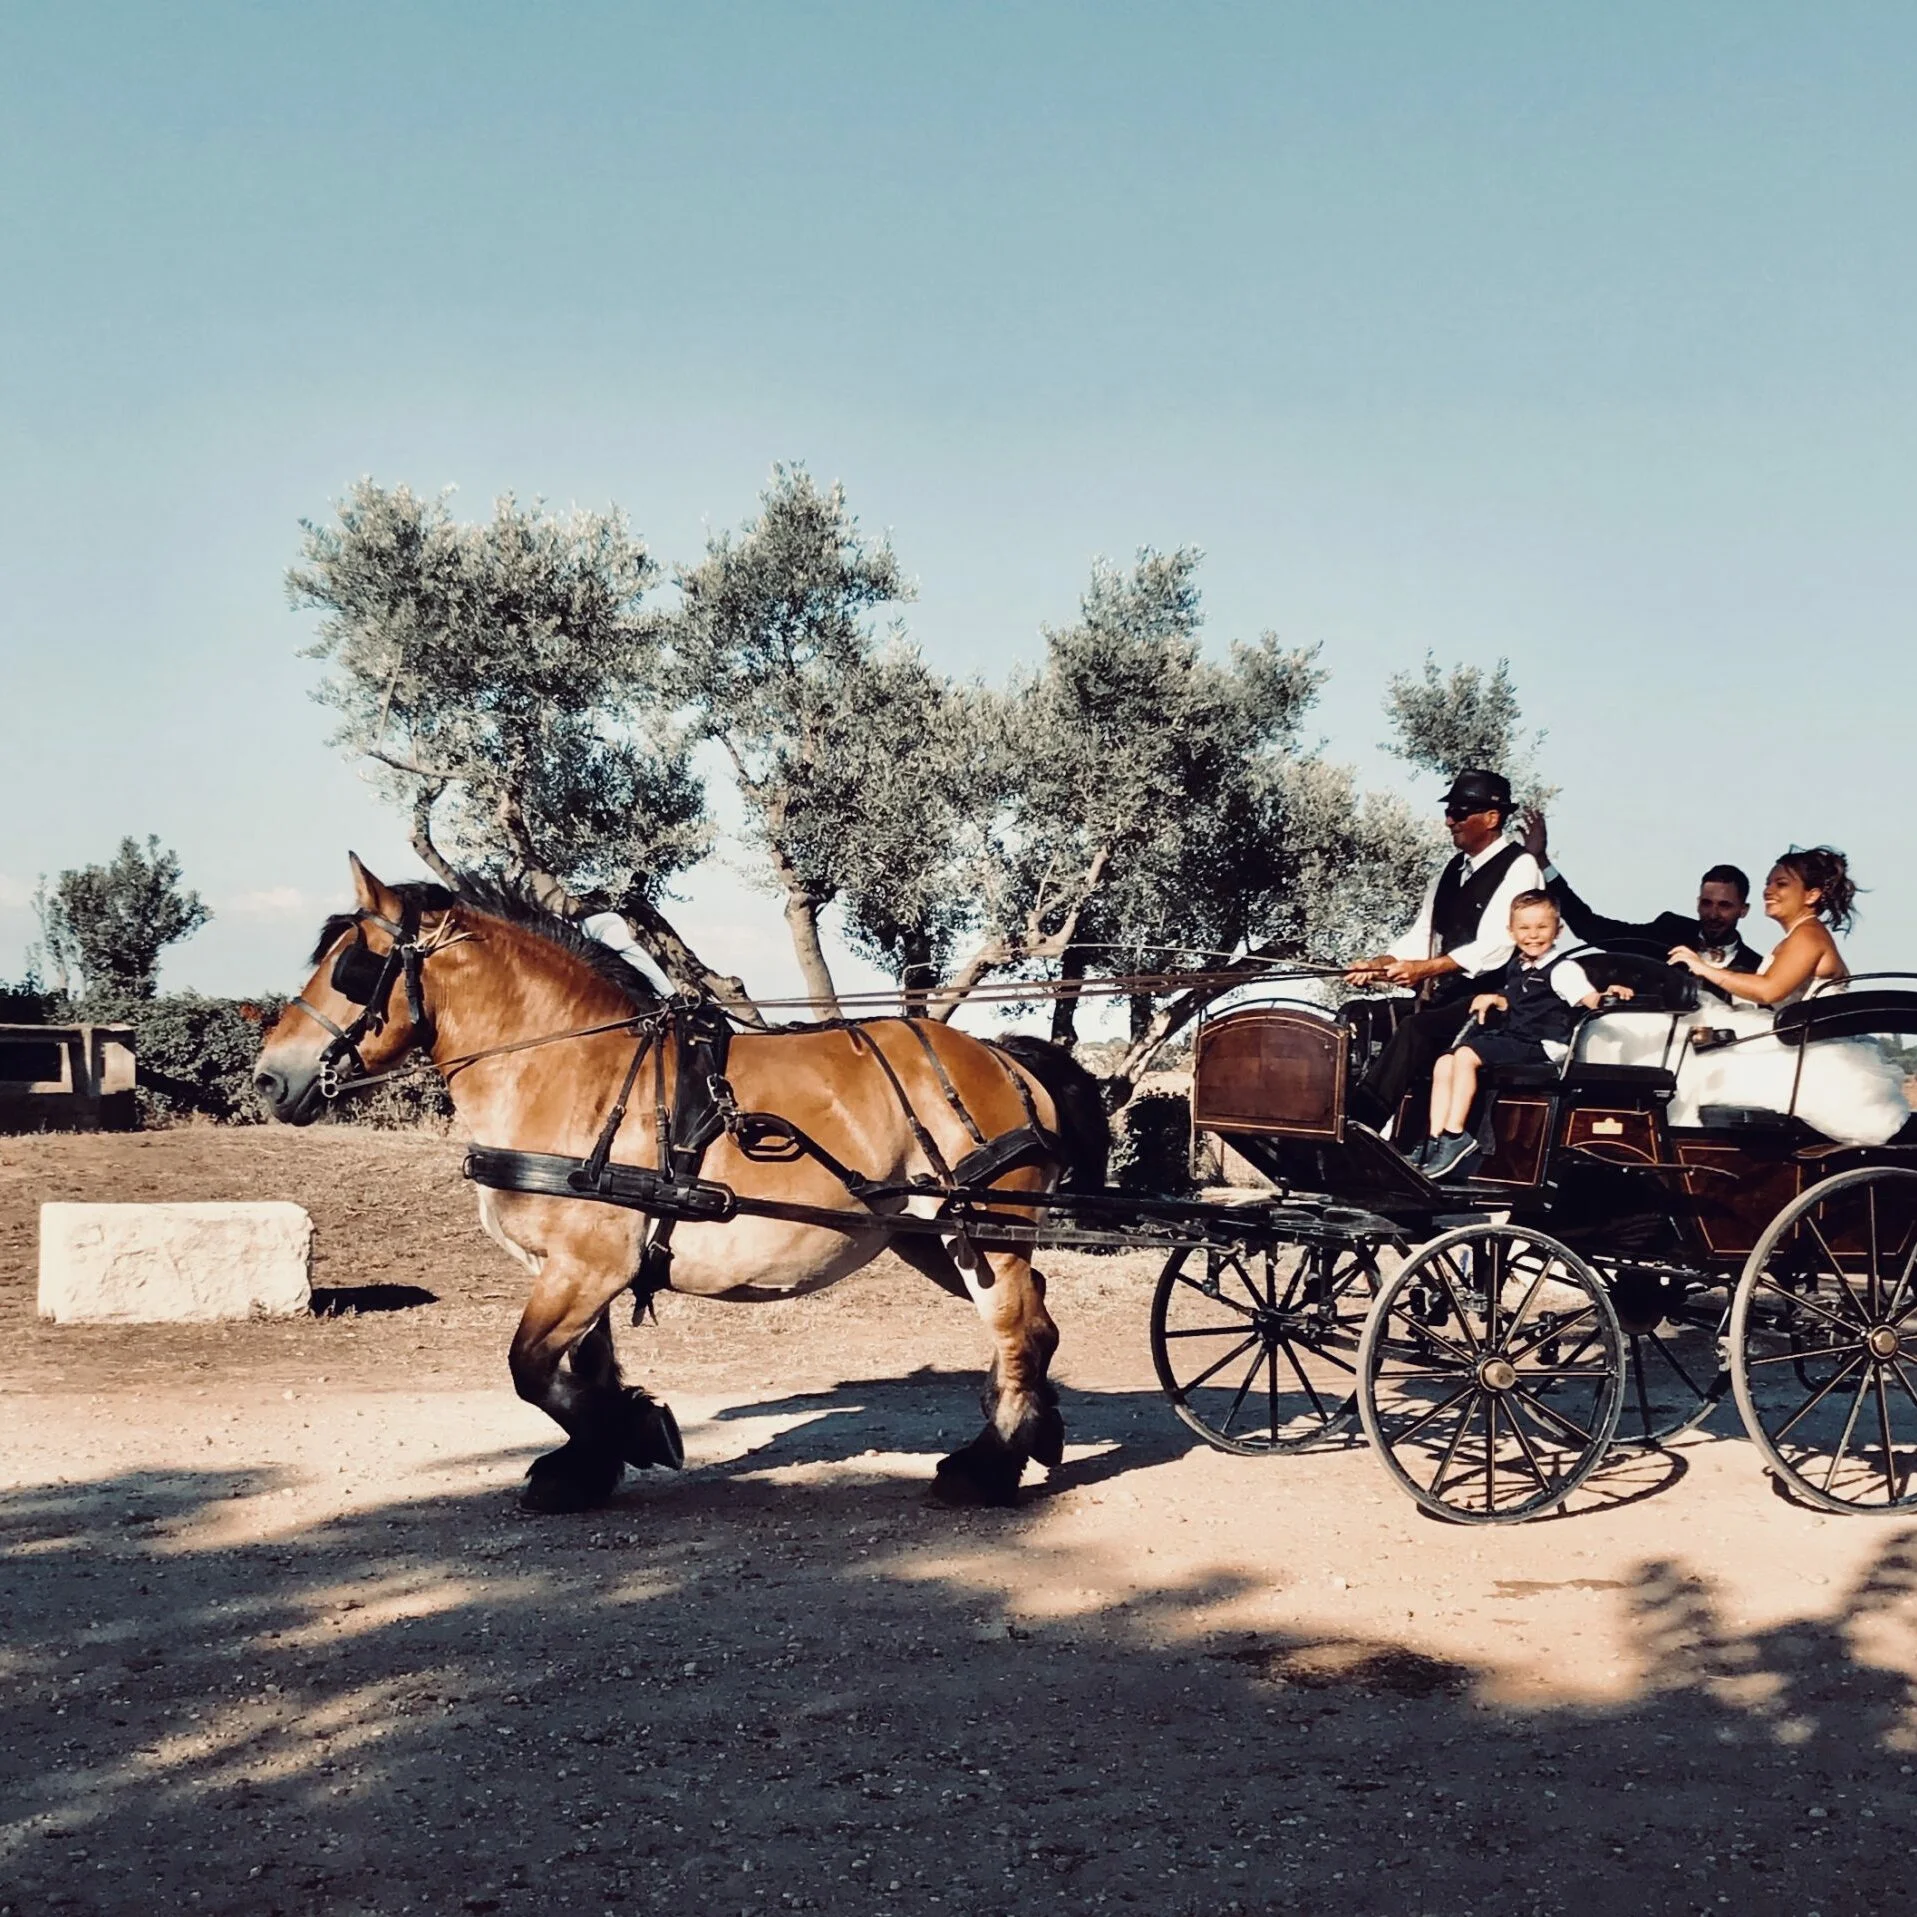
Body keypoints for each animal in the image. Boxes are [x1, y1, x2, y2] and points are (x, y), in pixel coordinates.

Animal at [253, 857, 1109, 1514]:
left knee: (1017, 1331)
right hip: (936, 1238)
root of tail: (1003, 1055)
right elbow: (581, 1368)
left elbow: (532, 1370)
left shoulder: (588, 1265)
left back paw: (988, 1466)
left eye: (351, 967)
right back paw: (1034, 1434)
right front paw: (585, 1466)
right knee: (1035, 1322)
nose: (267, 1077)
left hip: (979, 1229)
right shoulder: (576, 1268)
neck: (571, 1070)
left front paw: (634, 1432)